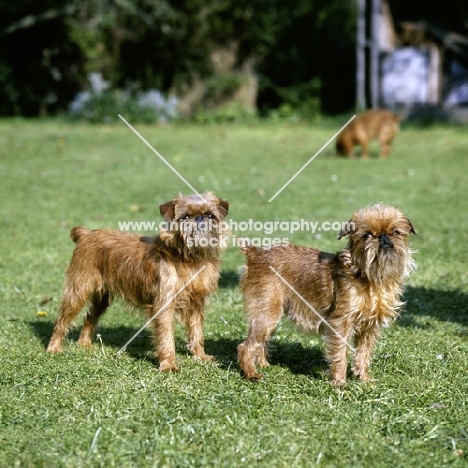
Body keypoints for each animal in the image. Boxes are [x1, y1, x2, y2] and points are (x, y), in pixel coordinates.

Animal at [46, 192, 229, 372]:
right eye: (185, 217)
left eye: (210, 215)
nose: (199, 218)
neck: (190, 258)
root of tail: (85, 235)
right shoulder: (164, 304)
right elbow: (166, 336)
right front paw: (168, 365)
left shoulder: (196, 304)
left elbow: (197, 331)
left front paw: (200, 356)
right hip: (78, 290)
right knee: (62, 320)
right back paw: (53, 348)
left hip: (102, 298)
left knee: (90, 316)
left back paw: (84, 343)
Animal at [238, 204, 416, 384]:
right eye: (366, 235)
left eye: (395, 232)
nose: (383, 236)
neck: (368, 276)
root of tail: (254, 252)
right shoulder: (340, 322)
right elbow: (340, 353)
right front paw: (339, 382)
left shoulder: (370, 327)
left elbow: (363, 353)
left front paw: (363, 378)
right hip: (267, 311)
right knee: (245, 346)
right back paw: (252, 374)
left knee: (261, 341)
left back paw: (263, 365)